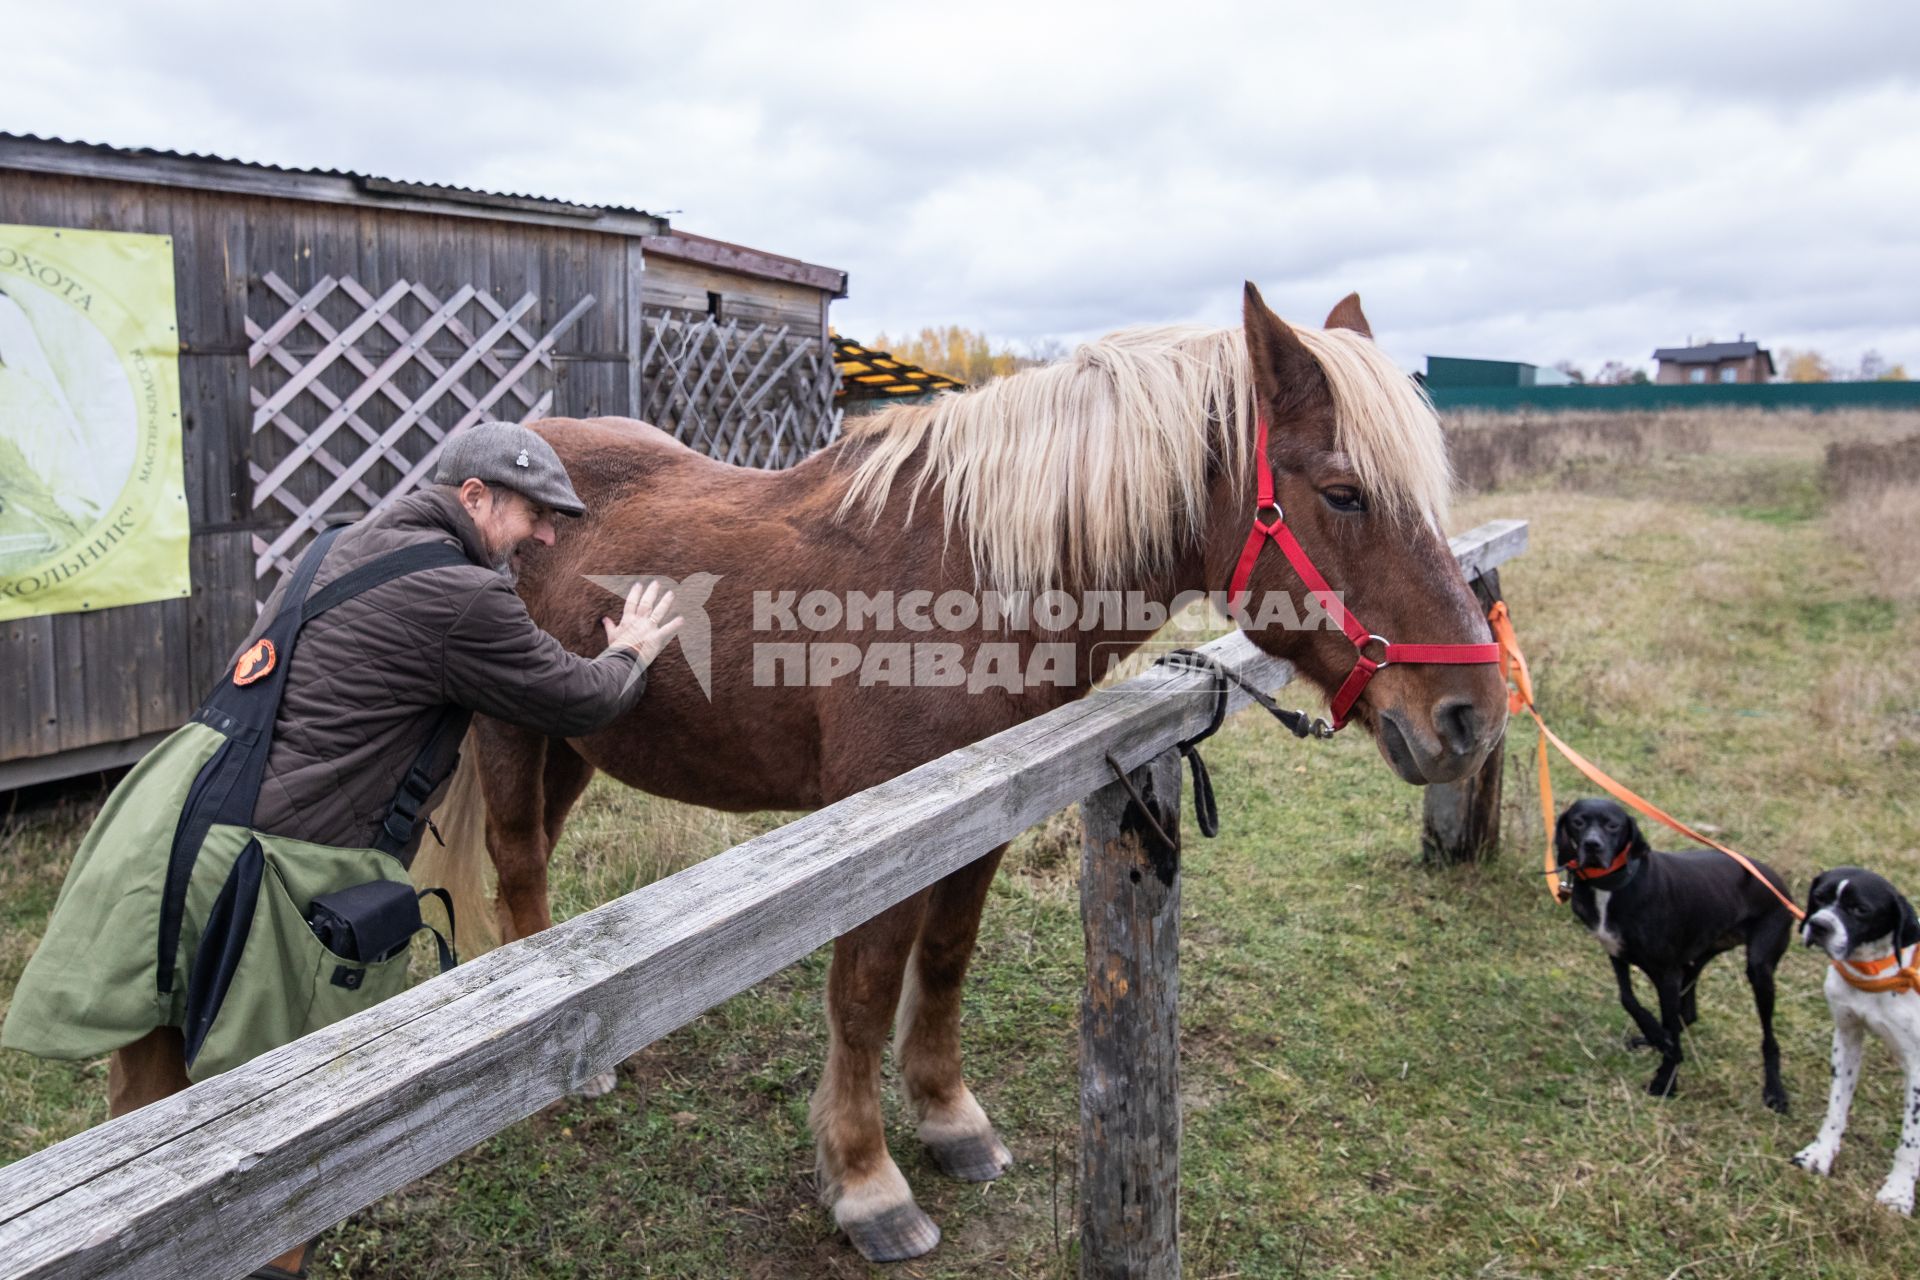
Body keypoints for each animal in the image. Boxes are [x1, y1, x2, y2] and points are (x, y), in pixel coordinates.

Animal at [424, 282, 1512, 1258]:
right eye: (1342, 492)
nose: (1472, 716)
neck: (972, 574)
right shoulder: (876, 835)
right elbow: (863, 995)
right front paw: (867, 1184)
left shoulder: (980, 819)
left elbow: (943, 963)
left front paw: (950, 1120)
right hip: (513, 732)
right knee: (519, 860)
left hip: (577, 741)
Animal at [1551, 802, 1789, 1113]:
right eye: (1578, 822)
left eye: (1613, 825)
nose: (1592, 845)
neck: (1613, 885)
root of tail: (1779, 882)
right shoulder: (1618, 954)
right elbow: (1629, 1000)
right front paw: (1655, 1035)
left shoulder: (1667, 974)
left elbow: (1670, 1034)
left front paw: (1665, 1080)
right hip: (1695, 959)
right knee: (1687, 1013)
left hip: (1758, 970)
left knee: (1769, 1040)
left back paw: (1775, 1092)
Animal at [1789, 867, 1920, 1220]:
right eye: (1819, 897)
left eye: (1860, 909)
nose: (1819, 925)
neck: (1876, 973)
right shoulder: (1846, 1037)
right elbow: (1836, 1108)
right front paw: (1820, 1153)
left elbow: (1910, 1140)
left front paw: (1898, 1194)